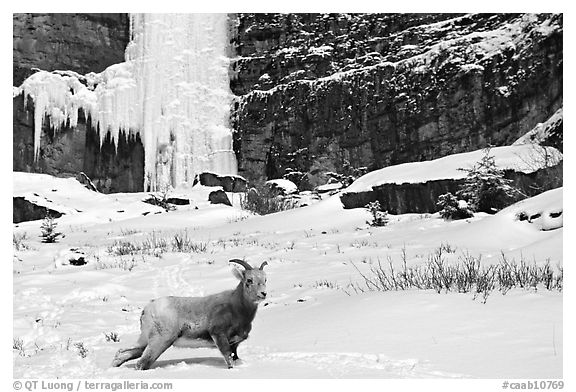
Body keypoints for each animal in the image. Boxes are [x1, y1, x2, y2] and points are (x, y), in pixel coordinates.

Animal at [111, 258, 268, 370]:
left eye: (265, 280)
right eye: (249, 280)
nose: (263, 294)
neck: (237, 308)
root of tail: (147, 309)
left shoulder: (235, 344)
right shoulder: (219, 336)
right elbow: (228, 360)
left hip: (145, 340)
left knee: (124, 353)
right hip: (160, 341)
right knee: (142, 363)